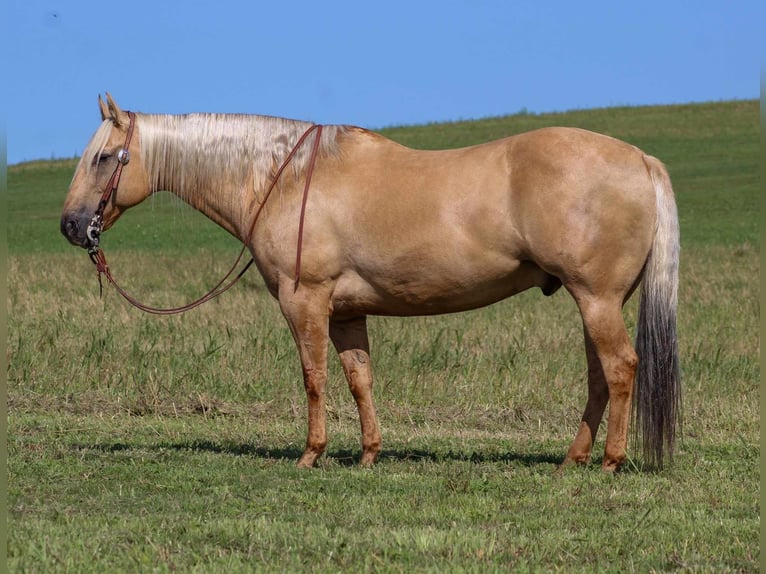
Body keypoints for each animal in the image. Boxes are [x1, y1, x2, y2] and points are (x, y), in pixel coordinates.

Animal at [61, 93, 684, 472]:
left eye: (105, 157)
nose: (71, 225)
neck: (283, 179)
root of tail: (641, 159)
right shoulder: (346, 313)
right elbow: (359, 379)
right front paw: (367, 453)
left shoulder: (305, 302)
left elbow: (313, 378)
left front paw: (311, 454)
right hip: (596, 302)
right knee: (600, 376)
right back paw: (572, 459)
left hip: (596, 299)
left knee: (621, 368)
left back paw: (609, 461)